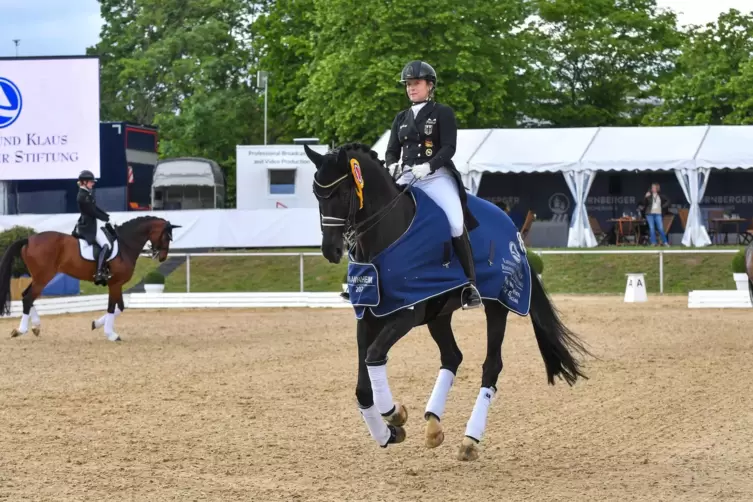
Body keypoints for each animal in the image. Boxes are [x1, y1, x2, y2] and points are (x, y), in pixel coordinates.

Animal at [0, 216, 179, 342]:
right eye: (167, 237)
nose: (162, 257)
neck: (125, 244)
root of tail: (29, 239)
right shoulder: (115, 284)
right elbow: (112, 307)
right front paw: (111, 334)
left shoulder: (117, 284)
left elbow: (120, 307)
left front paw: (96, 324)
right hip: (44, 277)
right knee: (28, 298)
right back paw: (20, 330)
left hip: (39, 277)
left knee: (26, 296)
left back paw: (36, 327)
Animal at [302, 143, 592, 460]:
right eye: (316, 194)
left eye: (343, 194)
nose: (331, 250)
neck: (388, 237)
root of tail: (512, 227)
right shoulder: (367, 315)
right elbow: (363, 387)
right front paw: (388, 433)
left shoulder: (406, 314)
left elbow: (375, 356)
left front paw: (395, 414)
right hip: (438, 313)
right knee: (452, 356)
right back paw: (433, 424)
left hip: (498, 306)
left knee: (491, 365)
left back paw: (469, 439)